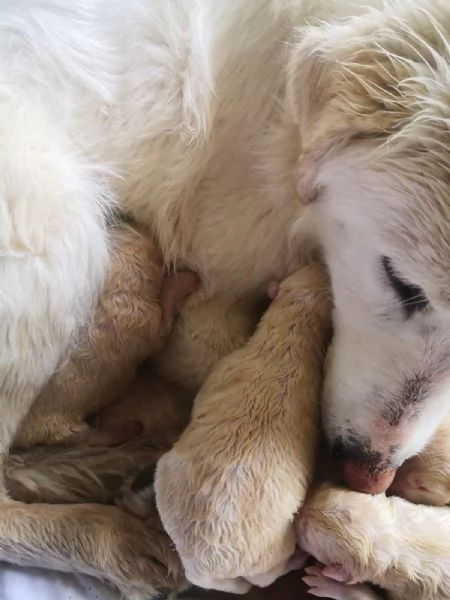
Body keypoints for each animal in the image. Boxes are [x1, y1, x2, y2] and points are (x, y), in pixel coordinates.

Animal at [15, 225, 197, 450]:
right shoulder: (148, 323)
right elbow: (165, 321)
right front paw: (189, 279)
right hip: (56, 425)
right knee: (86, 436)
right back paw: (129, 429)